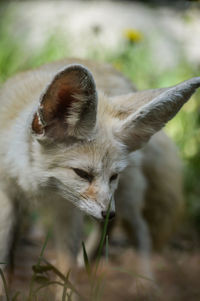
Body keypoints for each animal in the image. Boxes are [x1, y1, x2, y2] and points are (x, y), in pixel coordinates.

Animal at [0, 59, 199, 284]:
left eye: (114, 176)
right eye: (82, 173)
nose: (109, 213)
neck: (38, 189)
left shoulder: (68, 211)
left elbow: (66, 271)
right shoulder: (7, 198)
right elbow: (5, 260)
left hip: (127, 197)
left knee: (141, 231)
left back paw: (144, 283)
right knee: (111, 230)